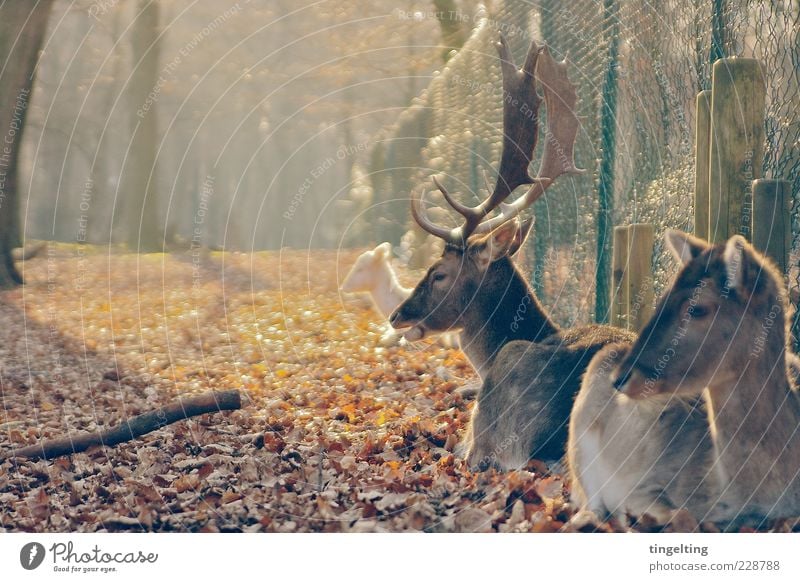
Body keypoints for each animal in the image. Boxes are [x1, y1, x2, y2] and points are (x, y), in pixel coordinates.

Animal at [568, 232, 800, 528]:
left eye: (697, 309)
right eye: (663, 298)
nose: (620, 377)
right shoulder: (642, 487)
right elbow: (681, 515)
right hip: (579, 440)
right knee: (588, 501)